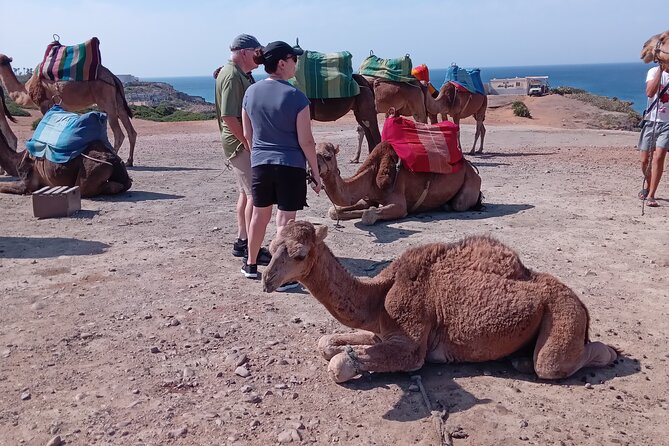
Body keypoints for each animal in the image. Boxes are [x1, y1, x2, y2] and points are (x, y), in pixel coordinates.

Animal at [0, 55, 138, 166]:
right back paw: (129, 161)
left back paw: (113, 160)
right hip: (118, 100)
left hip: (106, 99)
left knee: (119, 133)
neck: (26, 90)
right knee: (130, 130)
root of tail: (113, 77)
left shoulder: (44, 104)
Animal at [0, 128, 132, 196]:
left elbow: (3, 187)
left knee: (84, 188)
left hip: (94, 169)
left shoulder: (28, 182)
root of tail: (112, 159)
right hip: (119, 167)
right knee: (126, 183)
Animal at [260, 220, 616, 384]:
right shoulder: (381, 331)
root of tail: (581, 304)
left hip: (562, 314)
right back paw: (519, 361)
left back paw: (608, 353)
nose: (266, 279)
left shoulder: (412, 343)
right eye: (272, 246)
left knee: (554, 362)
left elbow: (339, 363)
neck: (380, 294)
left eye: (299, 254)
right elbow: (326, 343)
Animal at [314, 142, 478, 225]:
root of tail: (470, 166)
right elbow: (334, 211)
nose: (313, 168)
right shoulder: (368, 198)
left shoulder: (398, 202)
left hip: (470, 181)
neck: (372, 173)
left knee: (459, 203)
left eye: (328, 156)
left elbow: (368, 215)